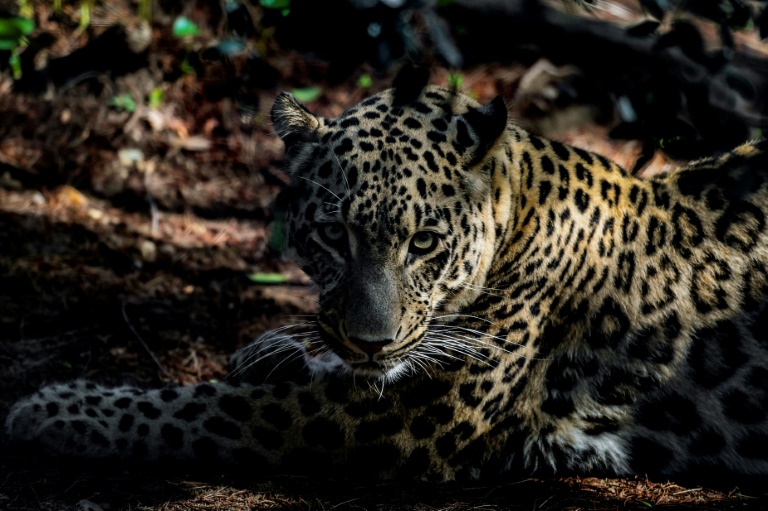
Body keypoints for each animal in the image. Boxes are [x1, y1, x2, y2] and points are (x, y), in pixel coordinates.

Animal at [4, 81, 768, 484]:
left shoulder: (403, 414)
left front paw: (58, 409)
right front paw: (272, 348)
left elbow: (198, 408)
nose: (372, 342)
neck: (517, 206)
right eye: (332, 236)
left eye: (423, 243)